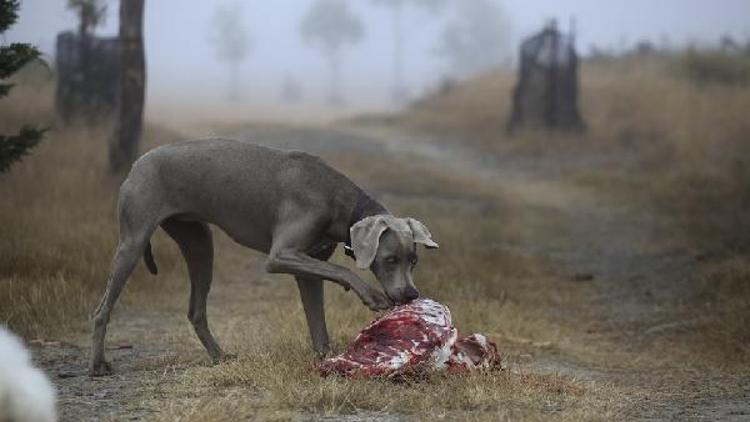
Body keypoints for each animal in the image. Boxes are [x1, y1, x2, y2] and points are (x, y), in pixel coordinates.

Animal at [92, 139, 440, 376]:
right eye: (390, 259)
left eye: (414, 260)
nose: (411, 294)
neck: (340, 201)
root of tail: (137, 163)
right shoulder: (281, 255)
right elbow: (342, 271)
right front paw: (370, 295)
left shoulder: (307, 268)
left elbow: (318, 320)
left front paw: (327, 360)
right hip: (133, 241)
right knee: (101, 309)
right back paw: (98, 364)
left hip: (199, 243)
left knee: (196, 309)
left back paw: (219, 356)